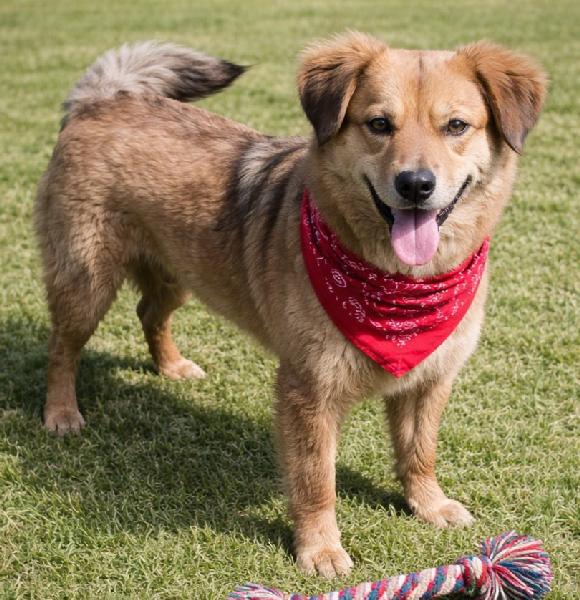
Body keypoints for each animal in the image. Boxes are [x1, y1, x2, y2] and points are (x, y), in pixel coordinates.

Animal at [35, 33, 546, 577]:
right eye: (379, 124)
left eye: (456, 126)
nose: (415, 184)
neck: (398, 287)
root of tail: (103, 100)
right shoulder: (309, 390)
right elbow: (316, 480)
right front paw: (319, 549)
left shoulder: (430, 380)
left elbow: (418, 452)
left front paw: (428, 504)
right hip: (86, 282)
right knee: (62, 348)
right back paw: (61, 413)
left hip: (180, 272)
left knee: (149, 313)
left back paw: (170, 366)